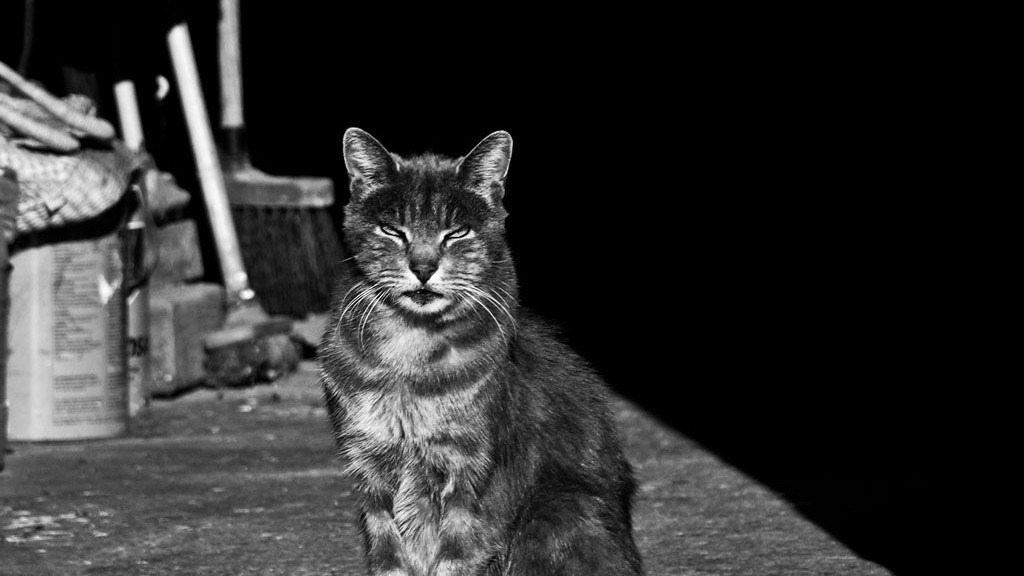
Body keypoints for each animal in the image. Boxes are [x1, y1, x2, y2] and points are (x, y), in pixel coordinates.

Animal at [319, 127, 638, 569]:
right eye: (392, 230)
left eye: (457, 233)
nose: (423, 268)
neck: (410, 351)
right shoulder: (369, 469)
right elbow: (389, 557)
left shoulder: (473, 477)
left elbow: (457, 558)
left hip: (558, 515)